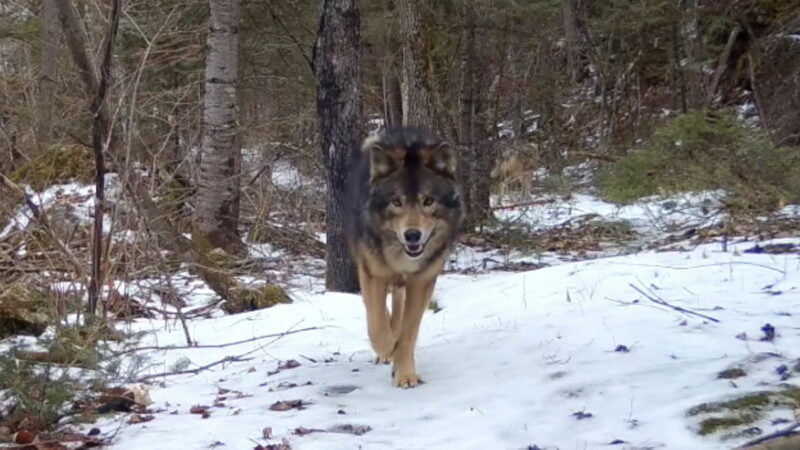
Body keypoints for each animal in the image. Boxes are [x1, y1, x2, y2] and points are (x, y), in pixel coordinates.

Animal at [344, 126, 462, 386]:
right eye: (397, 202)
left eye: (428, 201)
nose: (412, 235)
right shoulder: (372, 274)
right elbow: (376, 324)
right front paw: (388, 349)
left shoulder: (422, 281)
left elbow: (408, 332)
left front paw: (405, 373)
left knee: (397, 307)